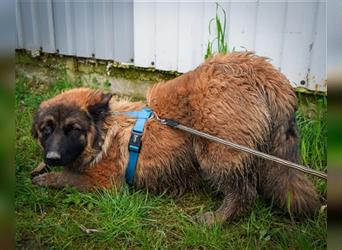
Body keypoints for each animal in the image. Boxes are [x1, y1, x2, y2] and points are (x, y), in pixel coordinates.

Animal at [31, 51, 318, 224]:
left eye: (73, 129)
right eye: (47, 130)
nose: (53, 156)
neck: (106, 131)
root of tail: (258, 69)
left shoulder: (105, 182)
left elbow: (68, 177)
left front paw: (46, 178)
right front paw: (41, 166)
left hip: (216, 149)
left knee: (244, 192)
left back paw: (218, 219)